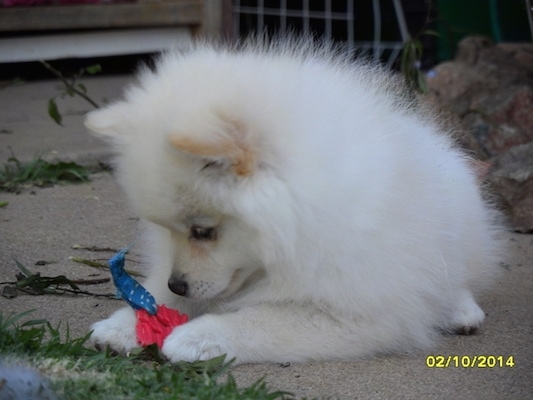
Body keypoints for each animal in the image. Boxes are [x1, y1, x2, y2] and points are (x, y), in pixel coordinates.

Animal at [84, 38, 502, 366]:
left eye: (203, 231)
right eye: (167, 229)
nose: (179, 285)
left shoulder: (356, 313)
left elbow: (261, 321)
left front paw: (199, 338)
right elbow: (153, 295)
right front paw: (125, 325)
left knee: (456, 275)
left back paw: (460, 309)